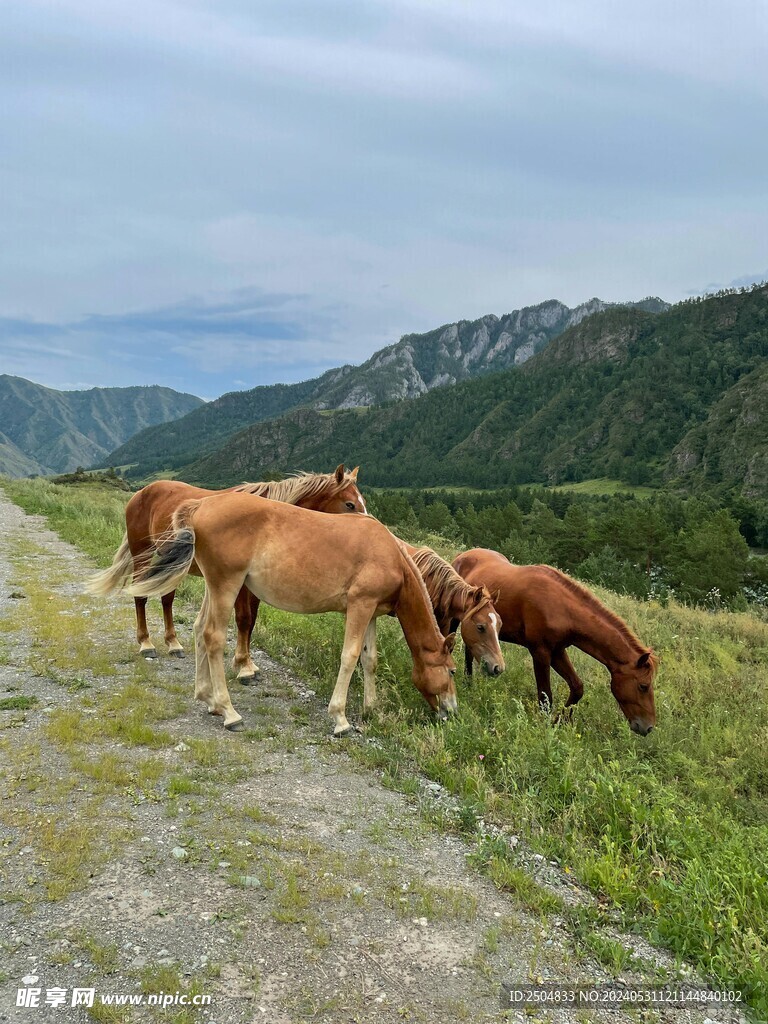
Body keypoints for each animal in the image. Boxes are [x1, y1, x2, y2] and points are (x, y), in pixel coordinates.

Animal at [88, 465, 366, 679]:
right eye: (350, 504)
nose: (369, 529)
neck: (264, 521)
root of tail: (141, 493)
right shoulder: (240, 584)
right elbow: (243, 619)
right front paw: (244, 667)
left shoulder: (255, 586)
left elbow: (250, 622)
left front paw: (247, 662)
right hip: (143, 555)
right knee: (140, 596)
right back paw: (146, 643)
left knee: (167, 599)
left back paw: (173, 643)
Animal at [91, 492, 457, 735]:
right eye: (452, 671)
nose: (451, 712)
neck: (389, 553)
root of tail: (202, 504)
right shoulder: (360, 606)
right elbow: (350, 657)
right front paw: (340, 717)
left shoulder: (371, 612)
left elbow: (369, 659)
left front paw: (370, 707)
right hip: (226, 584)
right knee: (212, 636)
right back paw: (229, 711)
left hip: (214, 586)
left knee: (197, 628)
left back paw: (208, 698)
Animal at [452, 548, 657, 735]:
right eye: (643, 686)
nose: (648, 727)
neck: (563, 608)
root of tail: (464, 554)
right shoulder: (540, 652)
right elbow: (545, 698)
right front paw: (544, 728)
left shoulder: (557, 651)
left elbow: (577, 687)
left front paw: (559, 721)